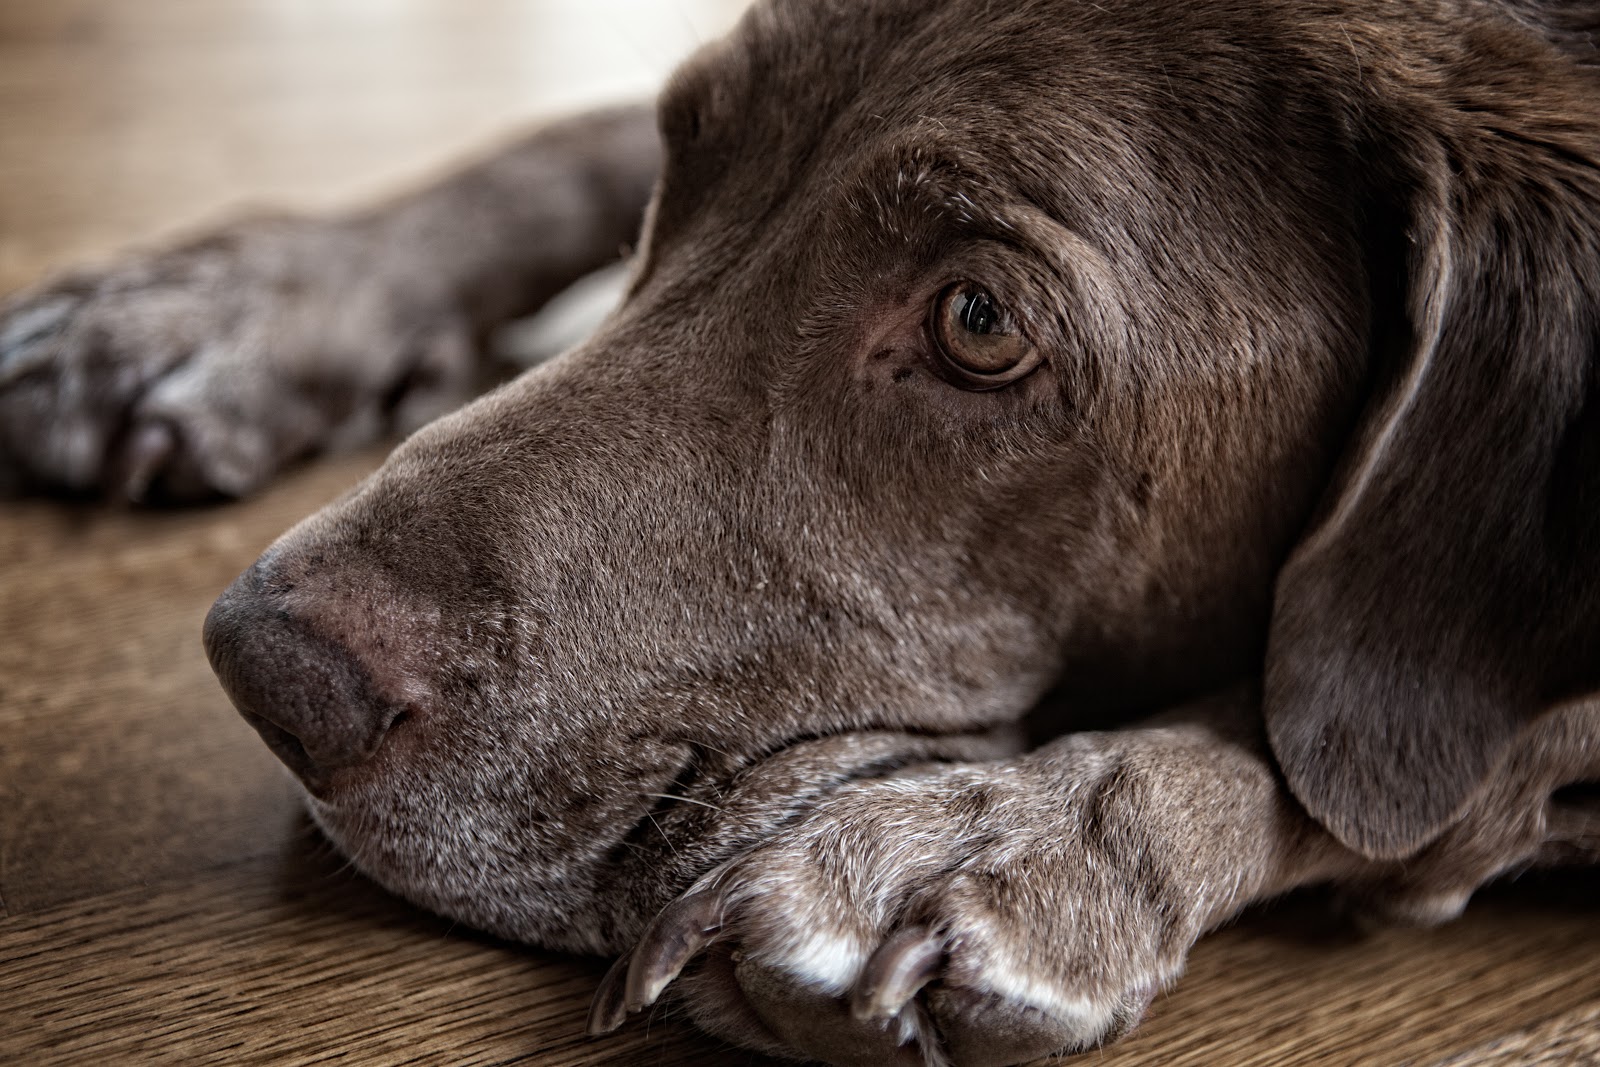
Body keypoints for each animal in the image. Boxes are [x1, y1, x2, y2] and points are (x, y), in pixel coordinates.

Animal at [3, 0, 1600, 1062]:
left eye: (979, 322)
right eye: (690, 147)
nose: (265, 669)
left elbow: (1408, 768)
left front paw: (1013, 843)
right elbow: (571, 135)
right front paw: (233, 301)